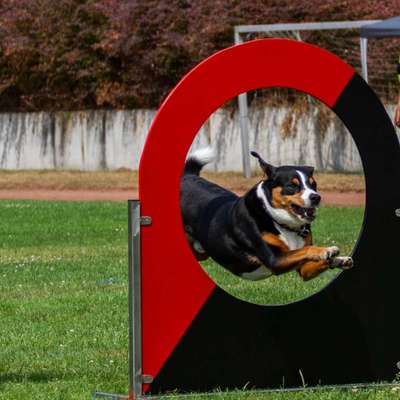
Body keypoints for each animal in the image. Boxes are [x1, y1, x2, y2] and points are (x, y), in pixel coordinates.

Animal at [181, 147, 354, 282]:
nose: (316, 197)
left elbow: (310, 256)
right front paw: (327, 250)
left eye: (313, 184)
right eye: (292, 186)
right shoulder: (275, 259)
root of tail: (188, 175)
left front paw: (340, 260)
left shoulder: (303, 269)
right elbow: (307, 250)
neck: (277, 220)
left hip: (201, 251)